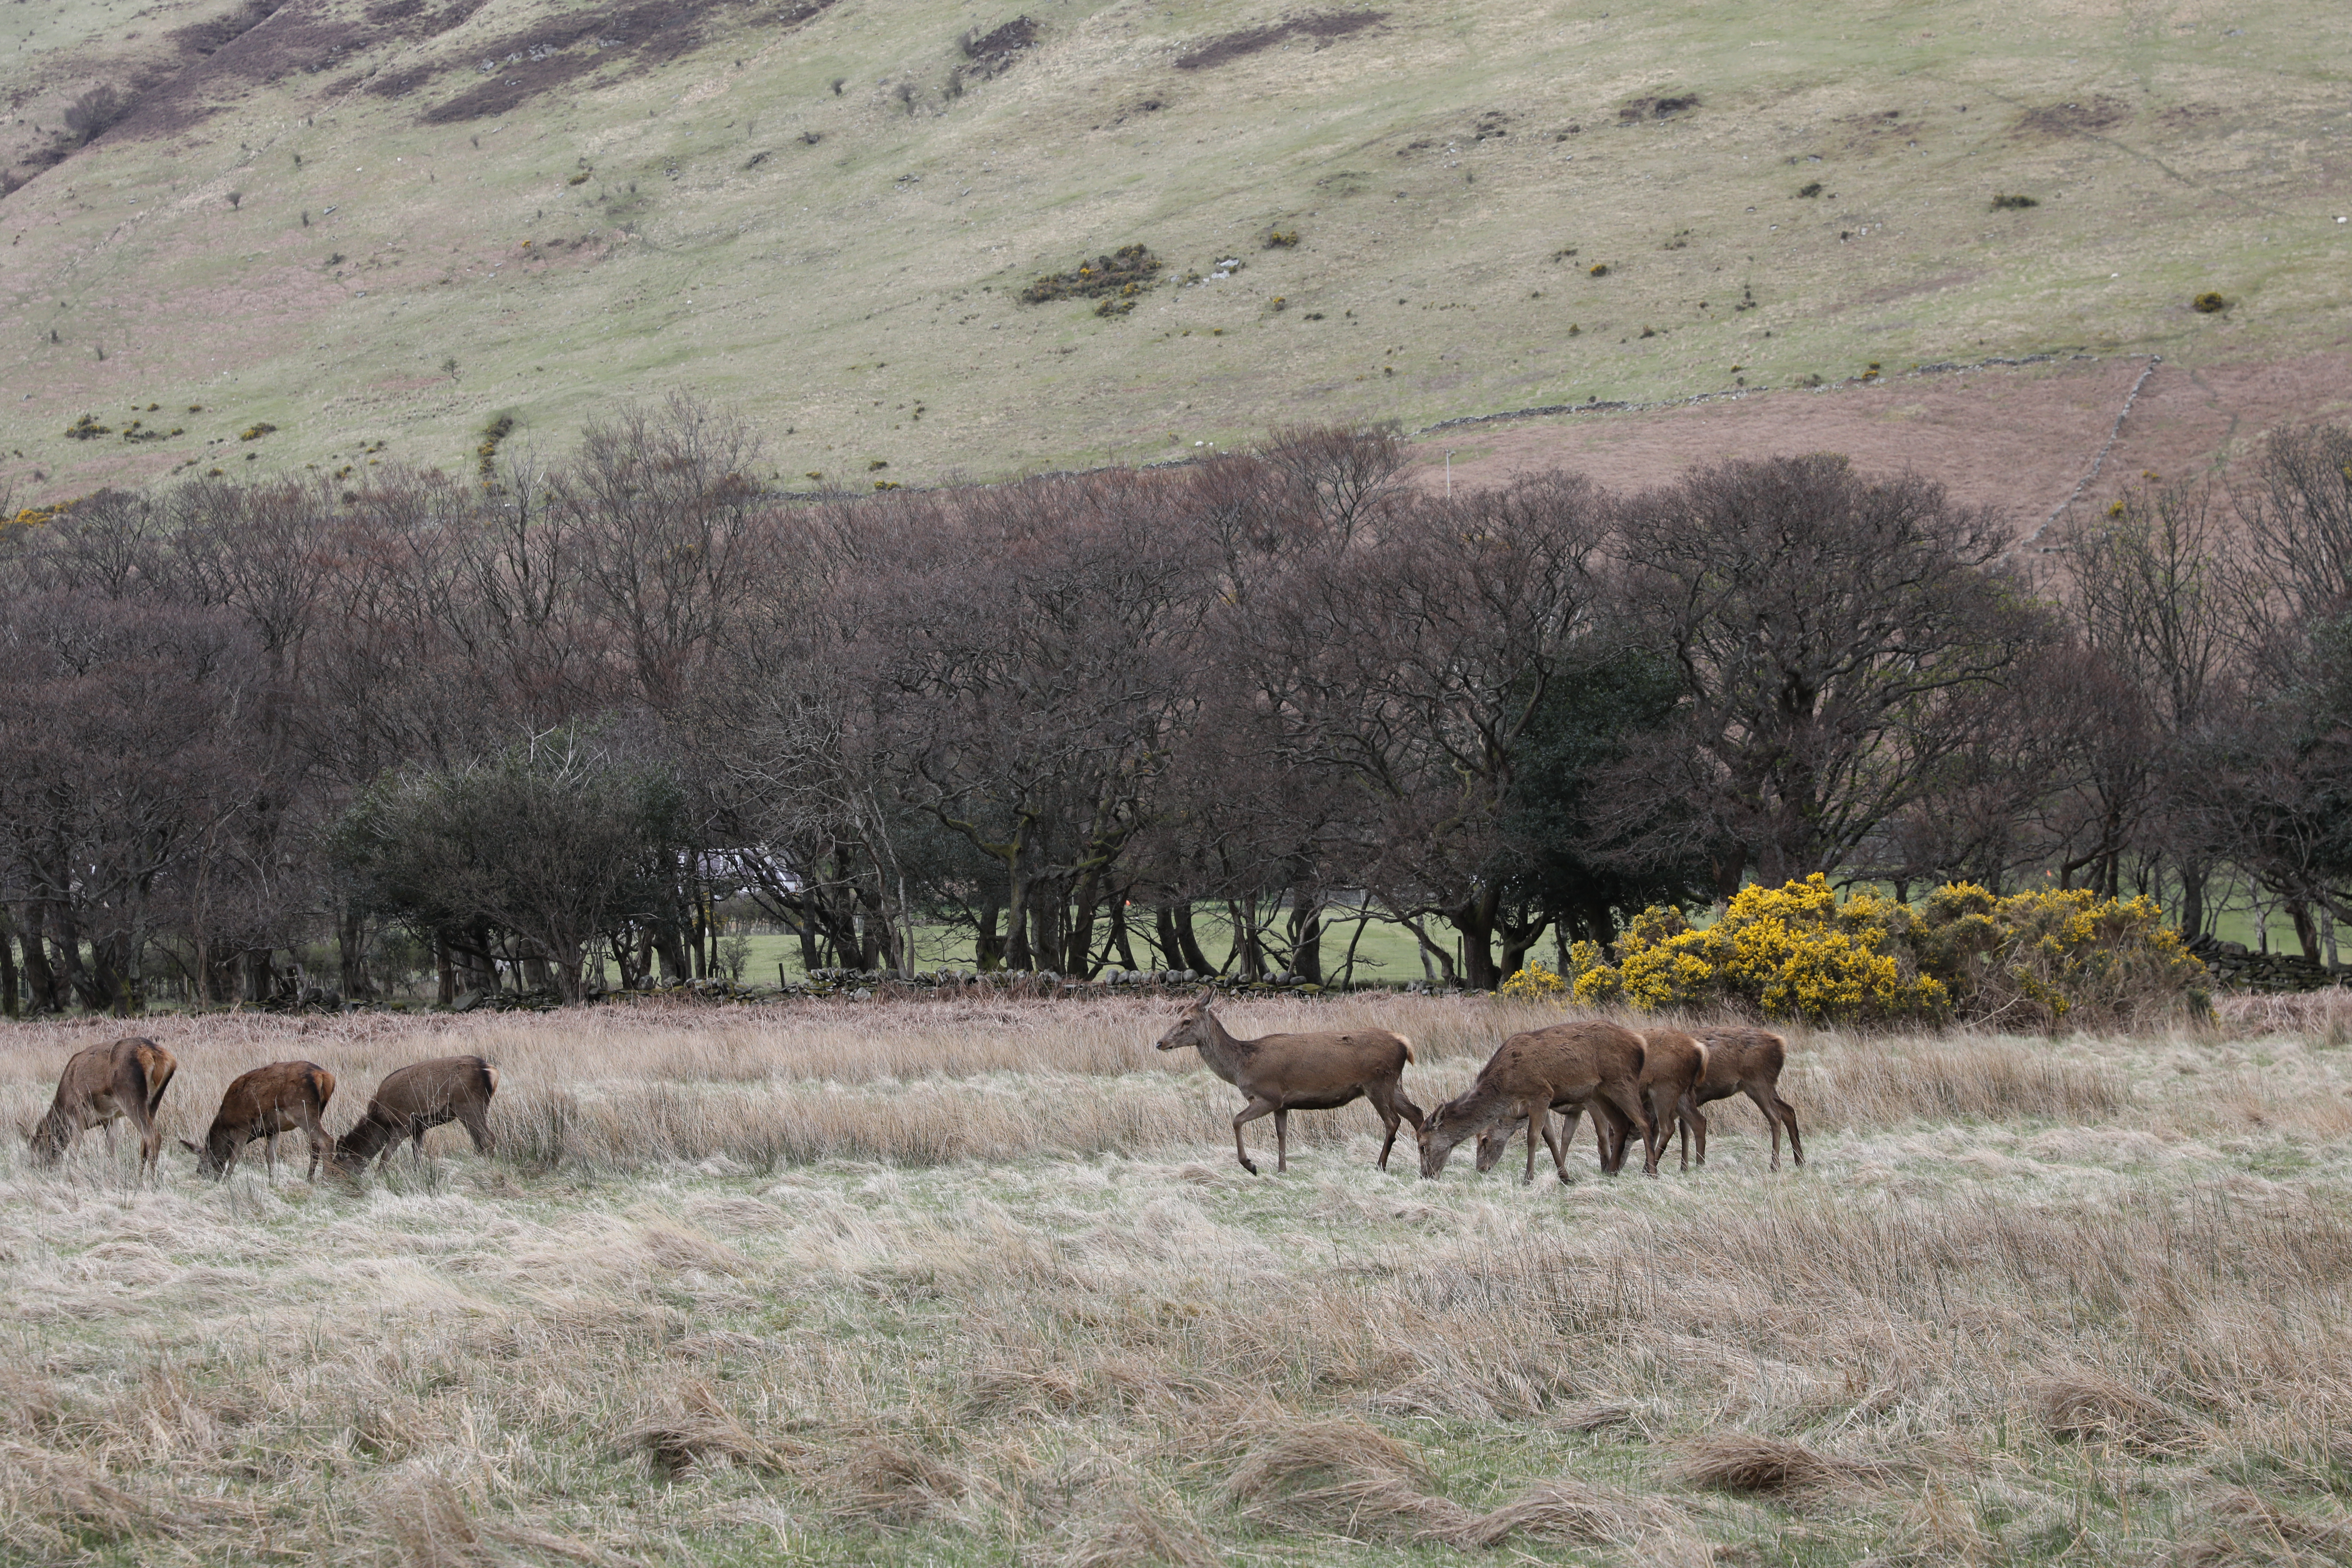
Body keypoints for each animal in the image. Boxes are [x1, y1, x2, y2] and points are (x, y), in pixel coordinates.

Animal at [26, 1036, 178, 1179]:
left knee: (153, 1136)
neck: (62, 1106)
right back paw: (140, 1178)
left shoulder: (76, 1113)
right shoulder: (112, 1118)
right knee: (145, 1140)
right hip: (154, 1101)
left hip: (129, 1095)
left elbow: (74, 1152)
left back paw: (150, 1181)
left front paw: (72, 1176)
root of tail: (158, 1055)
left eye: (37, 1149)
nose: (36, 1171)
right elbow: (110, 1152)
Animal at [182, 1060, 337, 1181]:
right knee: (315, 1145)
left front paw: (226, 1182)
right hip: (317, 1112)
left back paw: (325, 1182)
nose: (204, 1178)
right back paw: (309, 1180)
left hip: (301, 1109)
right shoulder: (272, 1130)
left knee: (326, 1141)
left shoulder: (244, 1125)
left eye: (201, 1166)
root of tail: (325, 1076)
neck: (226, 1123)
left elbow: (235, 1157)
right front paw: (273, 1183)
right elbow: (271, 1158)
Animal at [331, 1056, 499, 1174]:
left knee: (488, 1138)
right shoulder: (419, 1128)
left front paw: (379, 1177)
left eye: (337, 1168)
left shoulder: (403, 1123)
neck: (381, 1120)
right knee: (478, 1140)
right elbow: (417, 1153)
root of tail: (491, 1071)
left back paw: (487, 1165)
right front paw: (418, 1173)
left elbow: (386, 1154)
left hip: (469, 1105)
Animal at [1154, 997, 1422, 1174]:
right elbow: (1281, 1133)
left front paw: (1251, 1165)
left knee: (1393, 1121)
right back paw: (1424, 1162)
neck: (1242, 1065)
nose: (1160, 1043)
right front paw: (1282, 1170)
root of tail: (1405, 1044)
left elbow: (1236, 1120)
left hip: (1377, 1083)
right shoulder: (1282, 1104)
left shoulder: (1268, 1095)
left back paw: (1380, 1165)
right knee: (1417, 1114)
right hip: (1394, 1084)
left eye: (1187, 1021)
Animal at [1418, 1019, 1658, 1182]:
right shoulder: (1542, 1103)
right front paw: (1565, 1177)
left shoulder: (1540, 1094)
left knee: (1644, 1121)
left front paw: (1528, 1178)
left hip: (1621, 1080)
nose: (1426, 1175)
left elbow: (1533, 1138)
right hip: (1600, 1093)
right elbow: (1551, 1138)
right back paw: (1612, 1171)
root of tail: (1640, 1043)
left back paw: (1652, 1173)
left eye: (1423, 1146)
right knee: (1621, 1124)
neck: (1507, 1086)